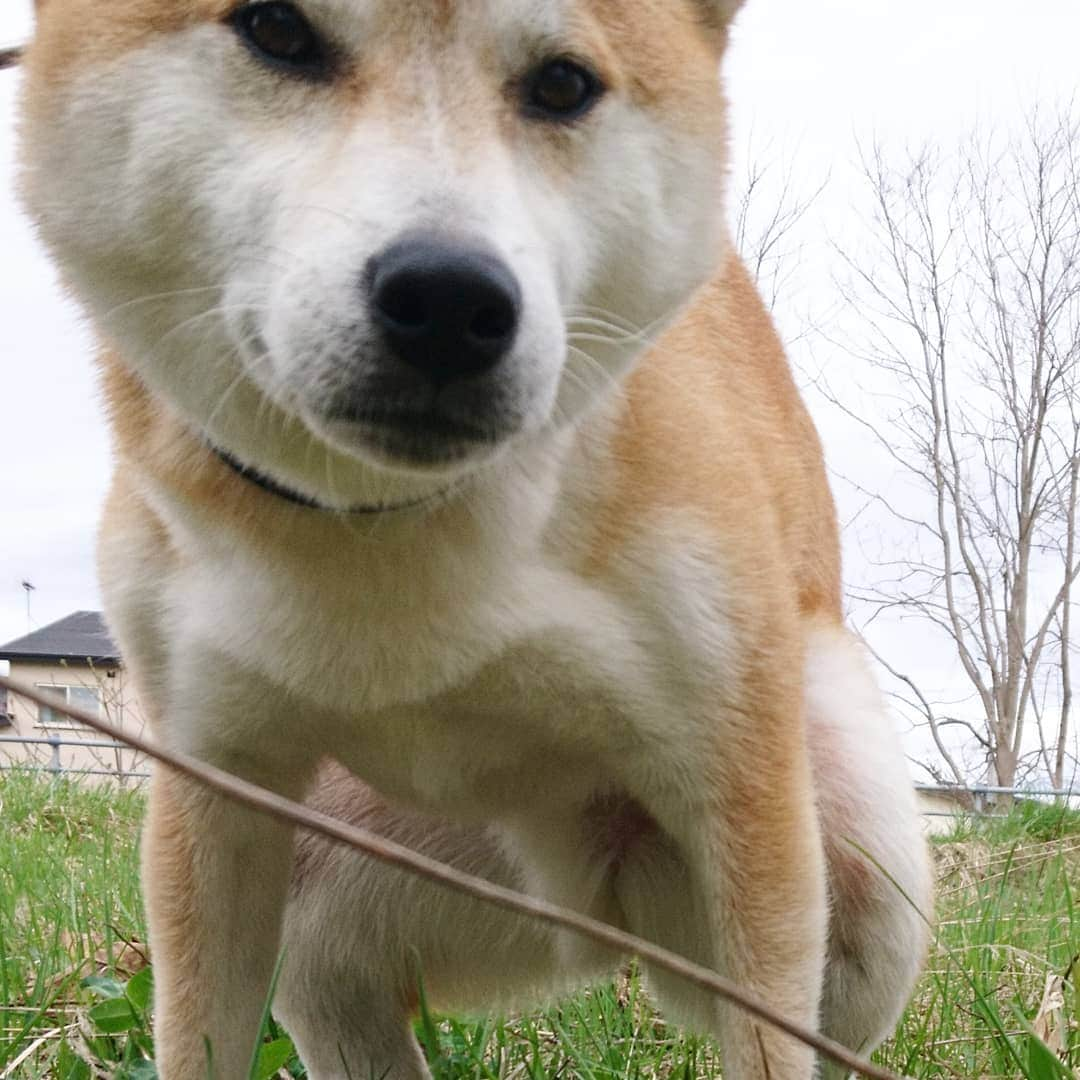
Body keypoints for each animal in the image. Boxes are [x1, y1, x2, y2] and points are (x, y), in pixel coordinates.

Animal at [14, 2, 928, 1080]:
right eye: (276, 29)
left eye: (564, 84)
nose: (450, 300)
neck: (398, 525)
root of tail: (589, 904)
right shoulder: (214, 790)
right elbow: (198, 1039)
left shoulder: (745, 799)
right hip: (336, 881)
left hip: (860, 863)